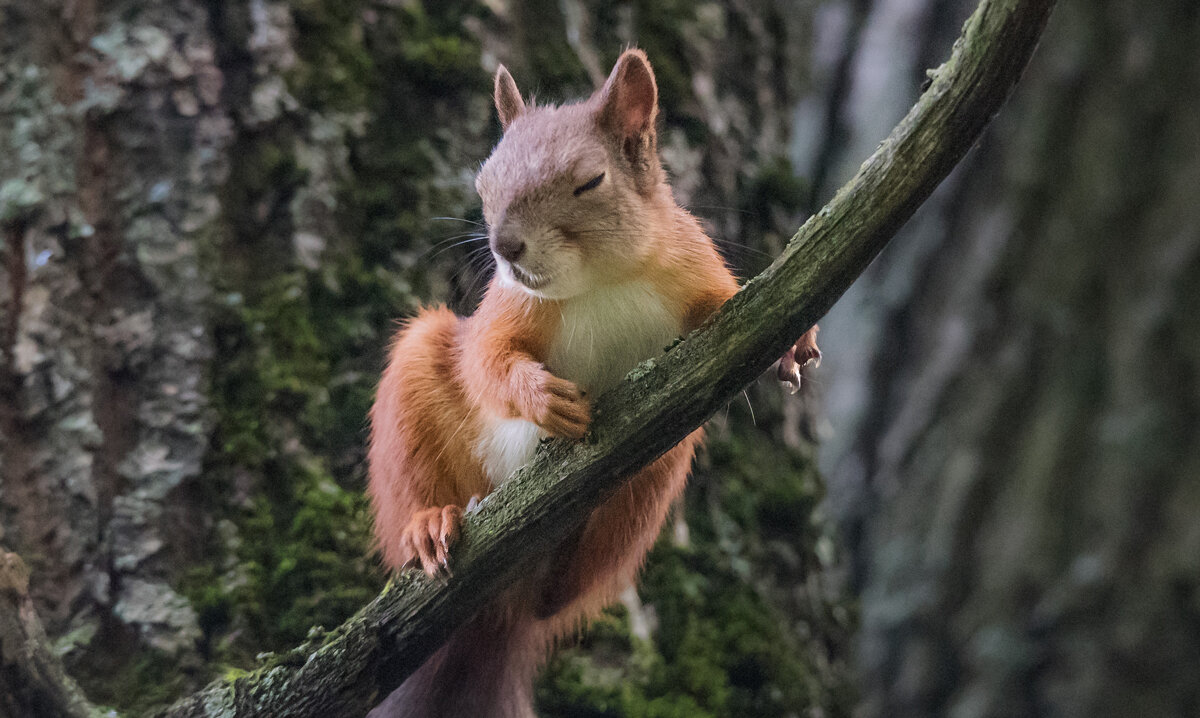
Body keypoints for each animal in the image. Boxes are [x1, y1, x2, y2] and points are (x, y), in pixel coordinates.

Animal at [364, 47, 820, 715]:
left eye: (589, 182)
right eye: (483, 186)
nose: (505, 246)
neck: (603, 280)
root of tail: (503, 605)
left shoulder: (696, 273)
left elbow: (736, 304)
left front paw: (792, 341)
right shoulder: (506, 309)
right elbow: (487, 363)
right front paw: (541, 397)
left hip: (657, 477)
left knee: (567, 589)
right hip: (414, 389)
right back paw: (430, 524)